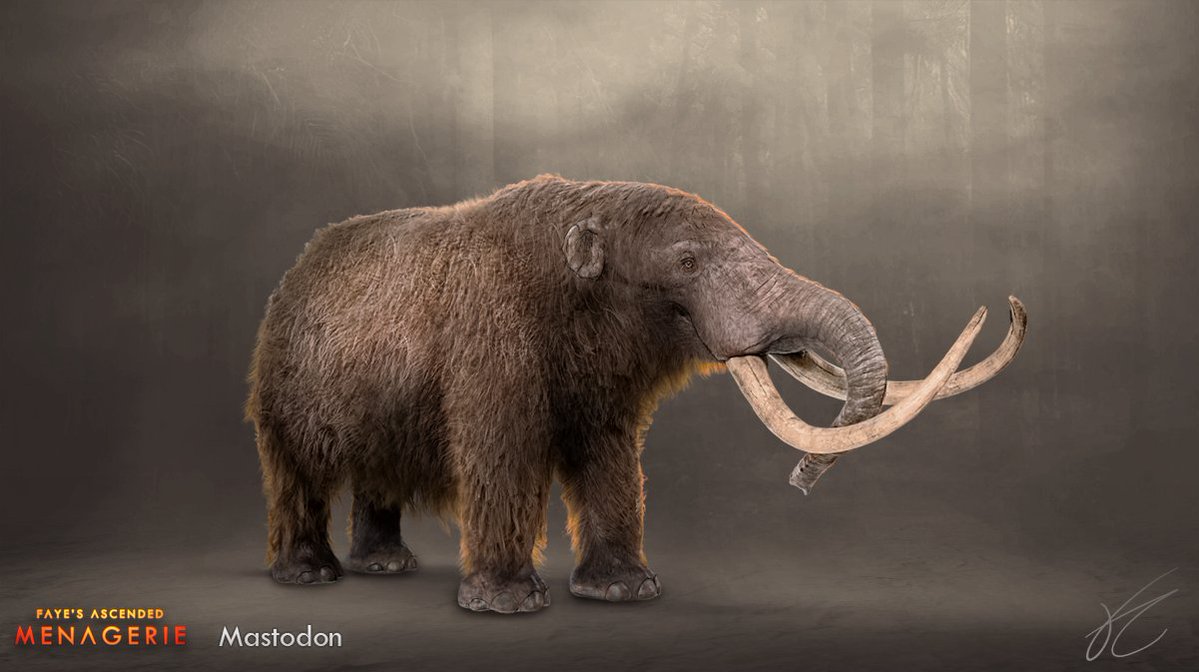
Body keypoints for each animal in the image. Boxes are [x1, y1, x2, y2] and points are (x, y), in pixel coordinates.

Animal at [245, 174, 1025, 614]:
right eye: (686, 262)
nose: (799, 483)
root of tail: (293, 272)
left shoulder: (601, 384)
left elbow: (609, 457)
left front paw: (622, 591)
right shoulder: (489, 345)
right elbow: (503, 453)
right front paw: (506, 604)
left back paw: (384, 566)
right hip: (283, 392)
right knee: (299, 473)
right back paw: (308, 576)